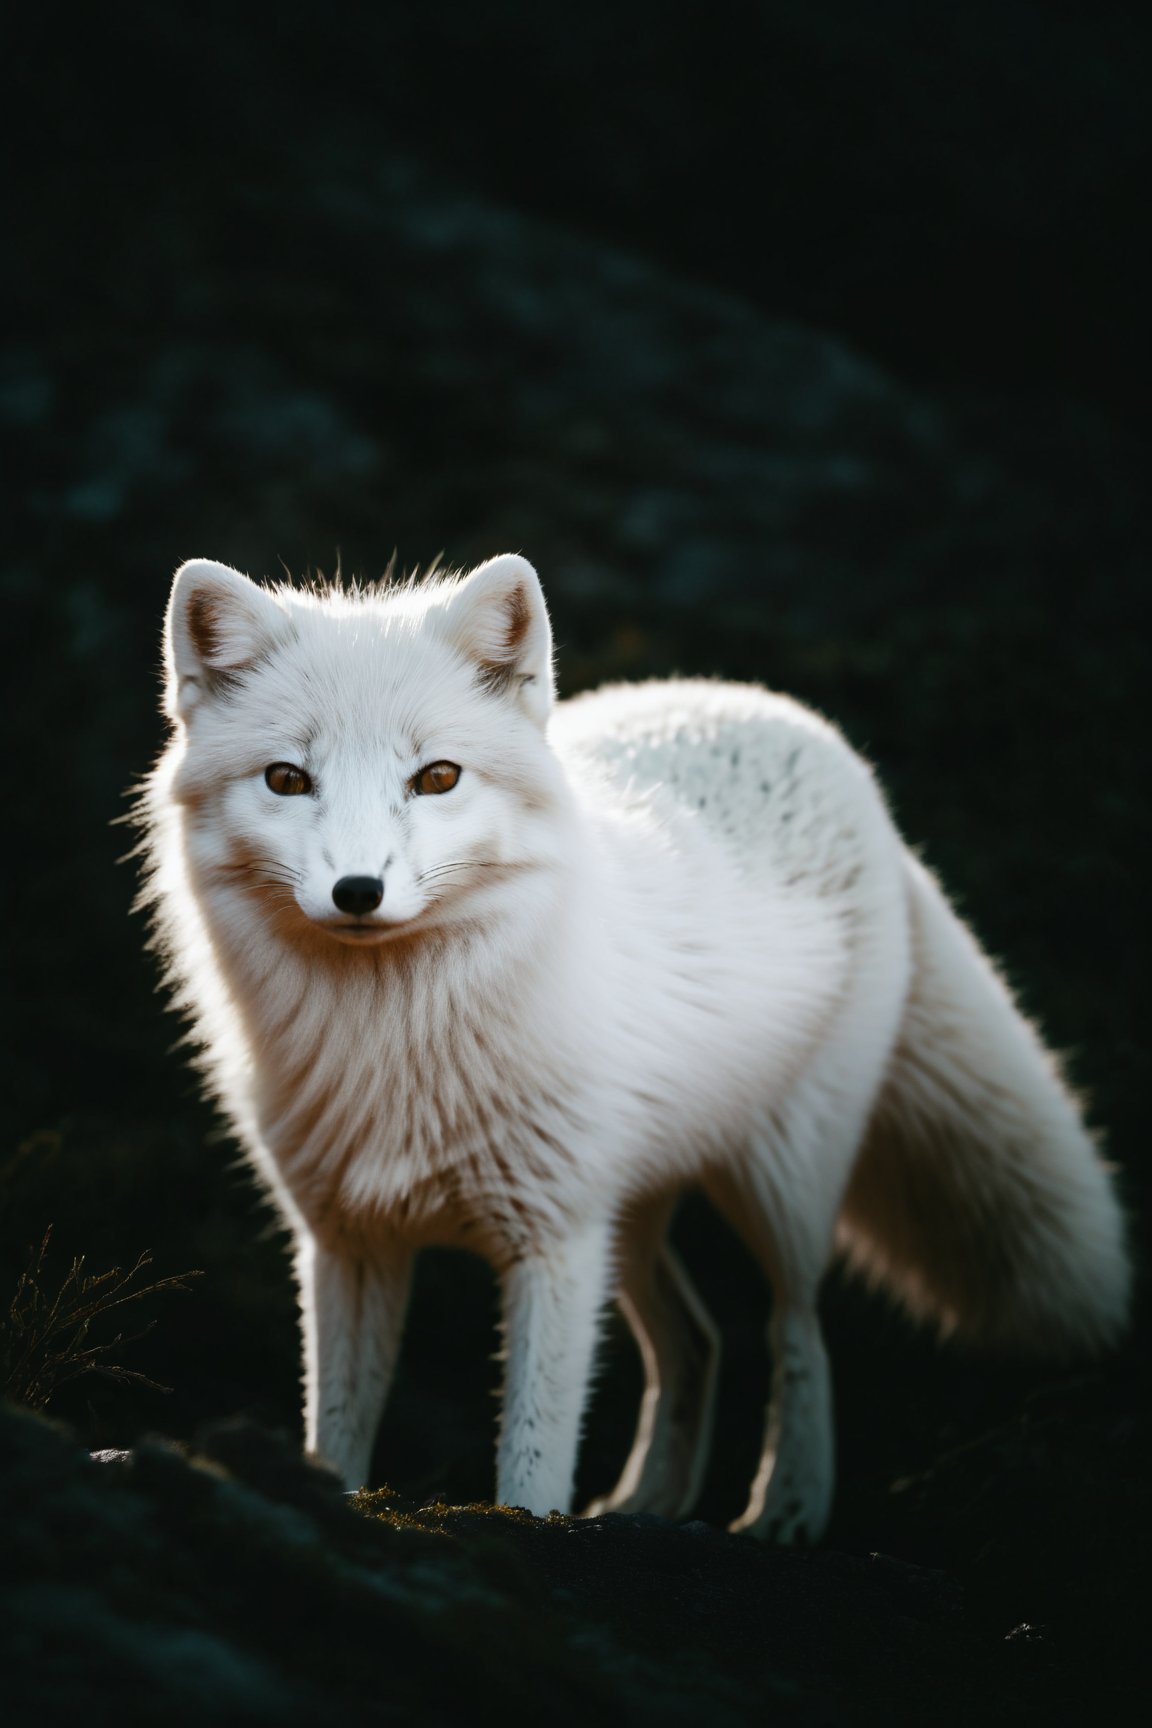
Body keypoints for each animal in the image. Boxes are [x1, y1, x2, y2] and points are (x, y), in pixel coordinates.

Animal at [141, 549, 1126, 1541]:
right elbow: (337, 1433)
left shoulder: (555, 1239)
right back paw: (651, 1503)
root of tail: (804, 728)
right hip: (634, 1213)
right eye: (286, 780)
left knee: (797, 1327)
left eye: (438, 777)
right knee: (697, 1339)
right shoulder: (348, 1241)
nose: (356, 891)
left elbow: (533, 1459)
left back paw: (787, 1507)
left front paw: (534, 1527)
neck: (397, 1045)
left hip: (779, 1178)